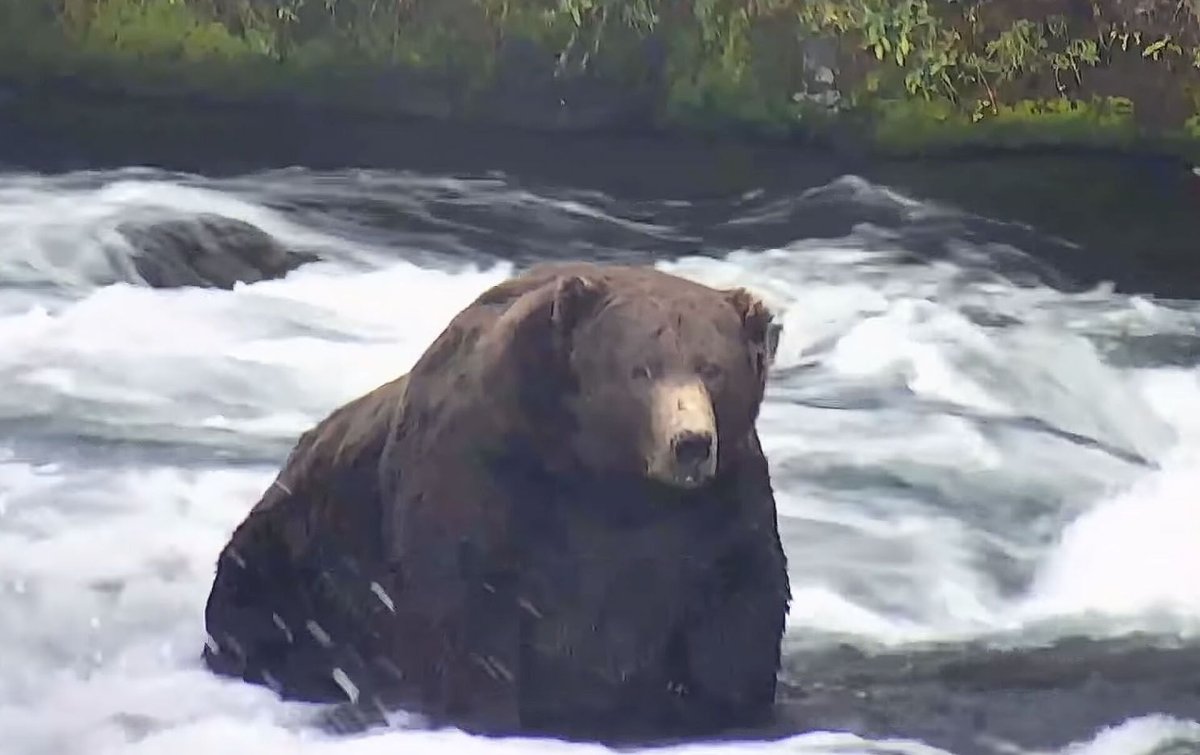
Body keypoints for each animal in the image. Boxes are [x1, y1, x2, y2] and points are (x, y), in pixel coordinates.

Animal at [201, 261, 790, 742]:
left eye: (712, 368)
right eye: (640, 369)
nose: (690, 442)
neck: (608, 479)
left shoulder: (715, 512)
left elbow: (738, 619)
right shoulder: (486, 480)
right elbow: (466, 611)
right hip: (289, 560)